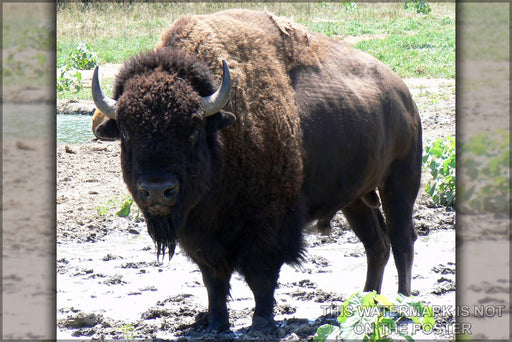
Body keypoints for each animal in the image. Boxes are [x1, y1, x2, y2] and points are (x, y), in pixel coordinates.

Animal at [90, 9, 422, 332]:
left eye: (193, 130)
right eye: (127, 133)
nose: (157, 190)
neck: (222, 135)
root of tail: (403, 94)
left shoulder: (268, 223)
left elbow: (260, 275)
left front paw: (261, 322)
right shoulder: (201, 234)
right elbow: (213, 278)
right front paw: (216, 324)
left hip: (399, 184)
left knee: (401, 240)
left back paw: (401, 304)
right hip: (356, 199)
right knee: (376, 245)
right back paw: (364, 303)